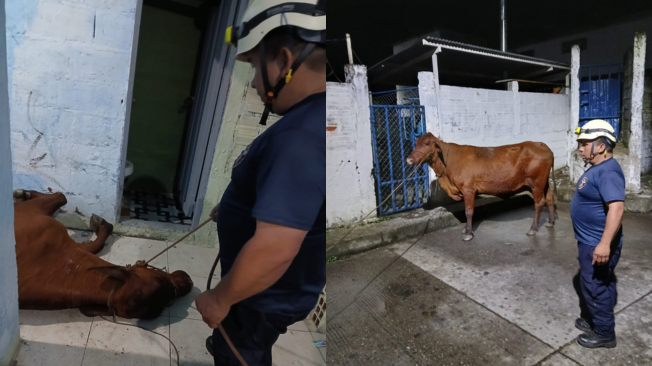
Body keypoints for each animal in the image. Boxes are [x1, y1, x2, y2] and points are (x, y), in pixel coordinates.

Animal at [13, 190, 194, 318]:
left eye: (167, 302)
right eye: (159, 279)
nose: (188, 280)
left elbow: (96, 244)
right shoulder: (35, 212)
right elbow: (61, 196)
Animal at [408, 133, 556, 242]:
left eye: (427, 143)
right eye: (415, 143)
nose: (409, 160)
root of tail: (541, 144)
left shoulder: (468, 189)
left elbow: (468, 211)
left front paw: (468, 233)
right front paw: (467, 229)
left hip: (537, 183)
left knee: (539, 203)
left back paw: (533, 229)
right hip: (544, 183)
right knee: (549, 198)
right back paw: (551, 222)